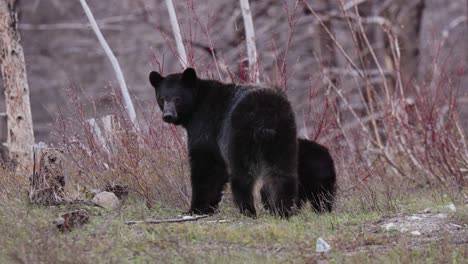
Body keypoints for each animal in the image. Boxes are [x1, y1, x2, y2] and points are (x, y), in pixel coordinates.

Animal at [148, 68, 298, 219]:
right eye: (162, 99)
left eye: (178, 99)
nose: (168, 115)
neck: (196, 105)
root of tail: (266, 113)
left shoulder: (206, 126)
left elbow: (206, 165)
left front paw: (196, 209)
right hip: (283, 135)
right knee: (282, 172)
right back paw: (283, 210)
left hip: (239, 134)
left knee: (242, 175)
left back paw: (248, 210)